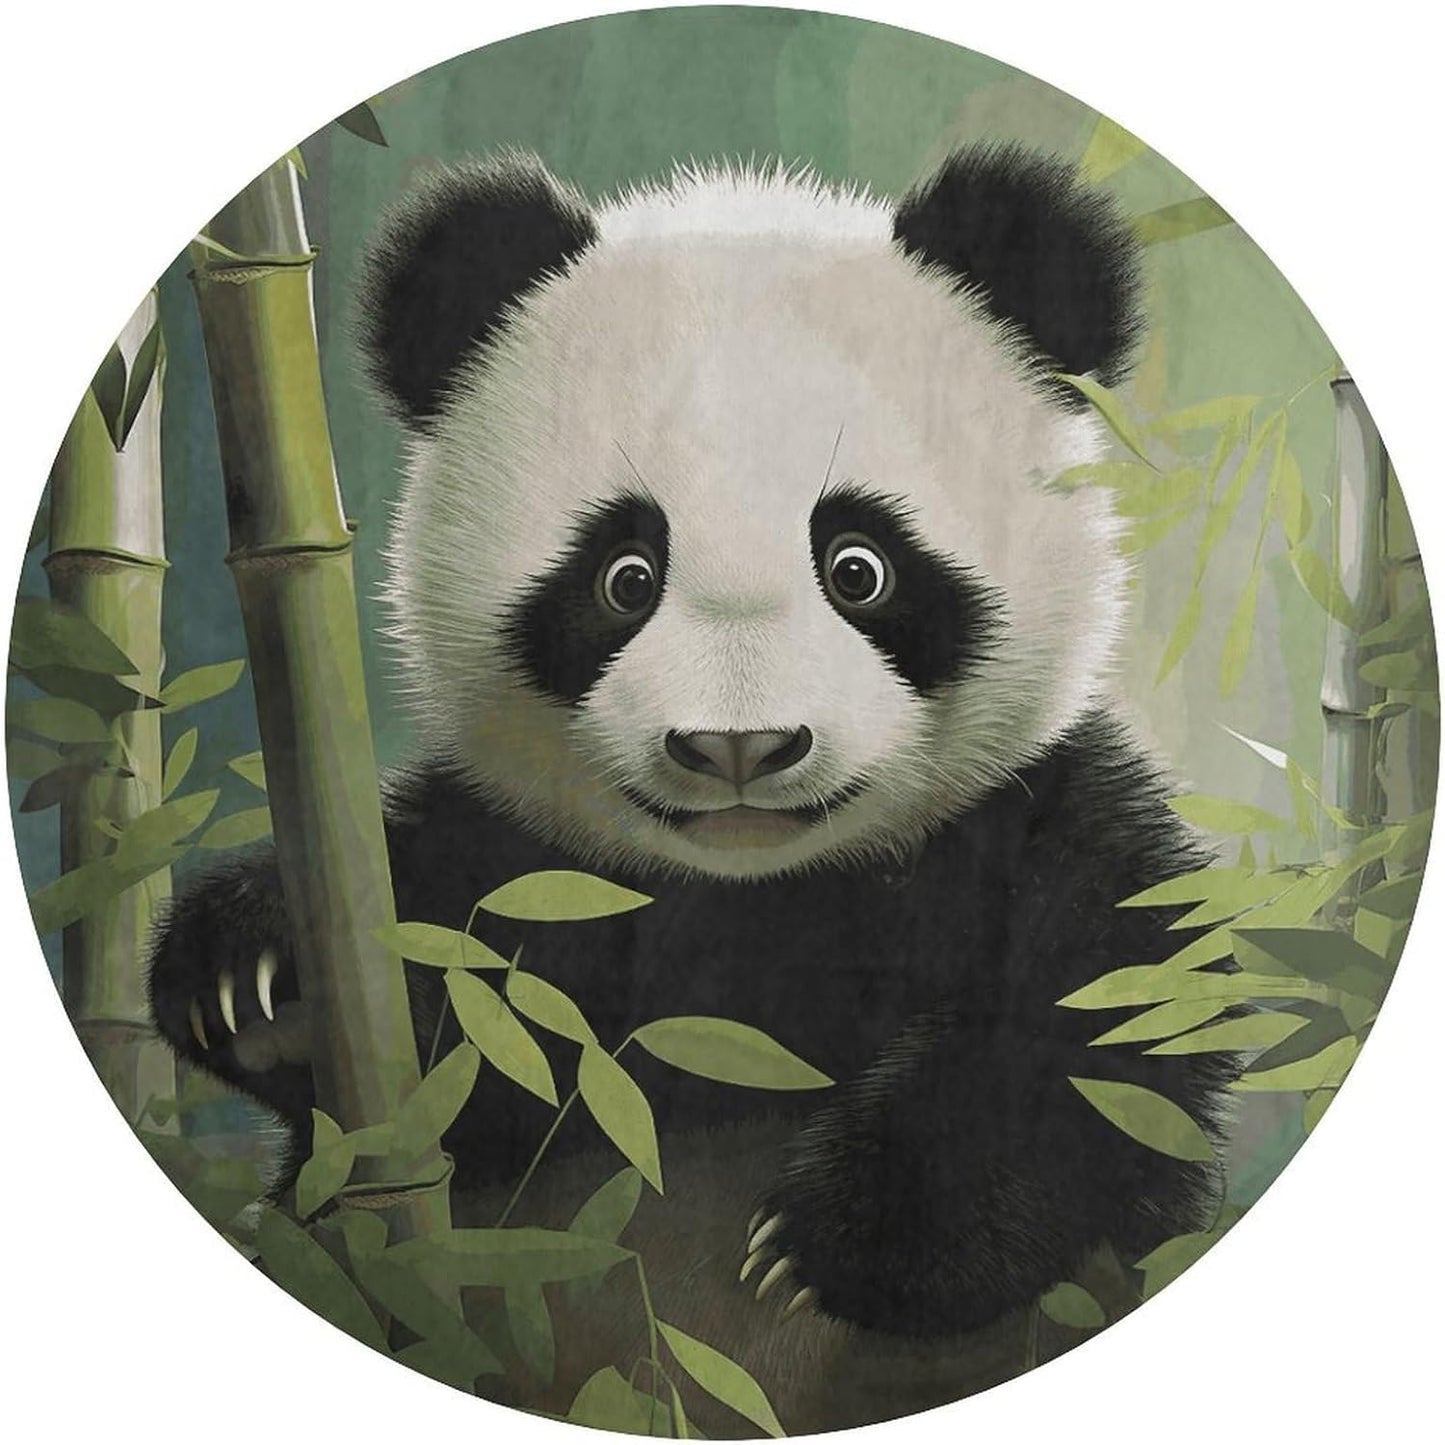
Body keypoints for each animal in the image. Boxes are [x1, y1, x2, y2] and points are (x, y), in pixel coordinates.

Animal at [149, 145, 1231, 1432]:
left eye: (858, 566)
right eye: (624, 574)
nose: (738, 745)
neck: (755, 891)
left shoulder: (1030, 814)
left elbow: (1104, 1037)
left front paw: (831, 1234)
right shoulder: (531, 871)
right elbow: (460, 1051)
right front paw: (260, 975)